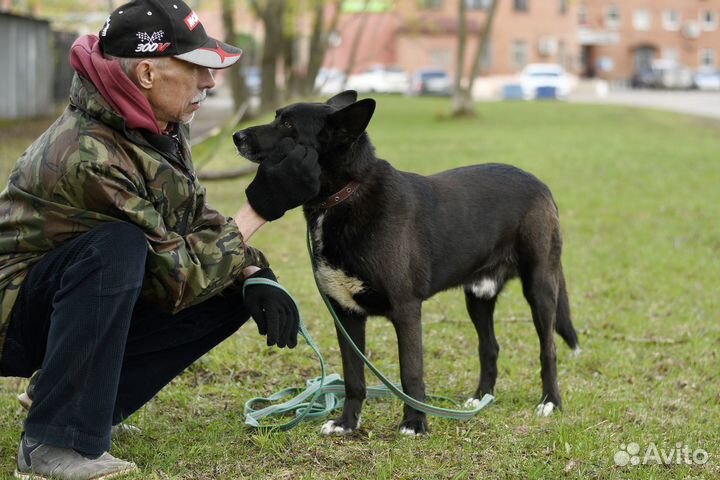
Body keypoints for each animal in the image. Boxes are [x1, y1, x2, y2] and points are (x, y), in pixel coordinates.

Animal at [233, 90, 584, 436]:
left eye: (288, 125)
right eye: (277, 117)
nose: (237, 136)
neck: (345, 195)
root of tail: (538, 183)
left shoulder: (406, 310)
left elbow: (410, 373)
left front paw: (415, 423)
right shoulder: (346, 316)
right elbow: (353, 378)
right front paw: (347, 423)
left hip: (540, 287)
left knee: (548, 350)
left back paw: (550, 402)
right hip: (478, 295)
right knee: (489, 348)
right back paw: (480, 398)